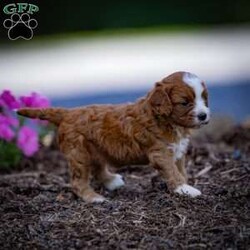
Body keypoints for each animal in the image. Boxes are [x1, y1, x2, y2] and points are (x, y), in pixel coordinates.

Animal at [16, 71, 210, 202]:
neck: (167, 121)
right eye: (184, 103)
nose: (203, 116)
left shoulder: (178, 151)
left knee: (98, 168)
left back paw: (111, 181)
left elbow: (181, 170)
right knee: (78, 182)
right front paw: (185, 189)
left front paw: (185, 185)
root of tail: (68, 113)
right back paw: (94, 198)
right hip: (78, 153)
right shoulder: (160, 153)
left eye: (204, 99)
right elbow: (172, 171)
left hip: (94, 149)